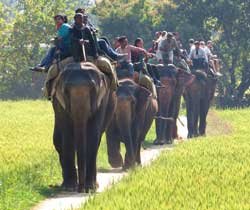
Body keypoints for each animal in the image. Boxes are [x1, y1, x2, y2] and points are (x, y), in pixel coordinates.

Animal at [51, 61, 117, 193]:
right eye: (66, 91)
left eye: (93, 89)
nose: (81, 189)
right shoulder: (59, 100)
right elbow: (67, 134)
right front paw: (70, 187)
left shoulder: (102, 99)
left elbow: (93, 134)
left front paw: (90, 188)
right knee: (58, 141)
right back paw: (66, 185)